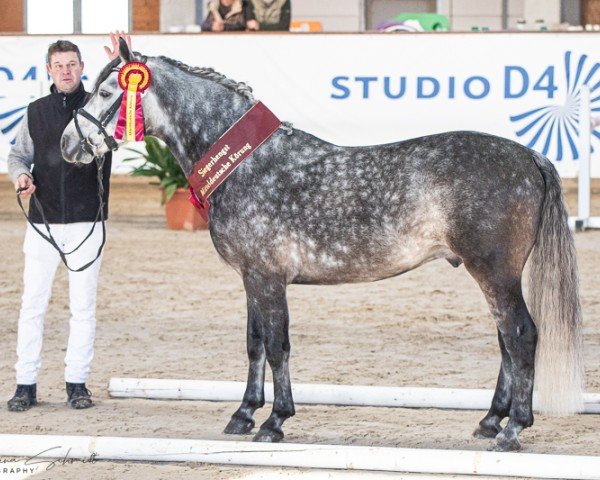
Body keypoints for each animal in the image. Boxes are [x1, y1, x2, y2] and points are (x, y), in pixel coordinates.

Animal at [62, 42, 584, 454]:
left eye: (106, 93)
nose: (69, 144)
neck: (249, 164)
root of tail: (529, 155)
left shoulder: (268, 279)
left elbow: (278, 347)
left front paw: (275, 422)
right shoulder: (252, 278)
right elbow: (254, 344)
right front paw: (243, 414)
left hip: (494, 272)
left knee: (521, 336)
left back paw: (513, 429)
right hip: (493, 274)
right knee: (505, 342)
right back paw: (490, 421)